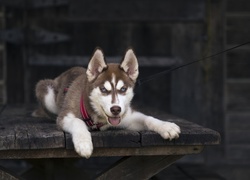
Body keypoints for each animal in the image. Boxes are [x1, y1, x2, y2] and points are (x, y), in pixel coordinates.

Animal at [33, 47, 182, 158]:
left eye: (123, 89)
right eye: (104, 89)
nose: (115, 109)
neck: (98, 116)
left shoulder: (128, 117)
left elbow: (147, 118)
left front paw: (166, 126)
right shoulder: (65, 116)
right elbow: (78, 122)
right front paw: (84, 143)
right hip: (46, 90)